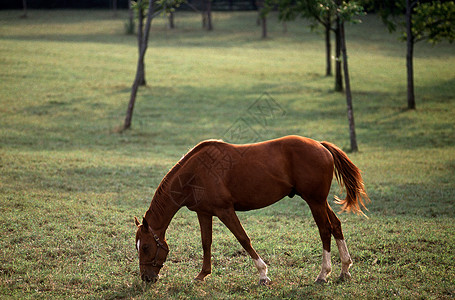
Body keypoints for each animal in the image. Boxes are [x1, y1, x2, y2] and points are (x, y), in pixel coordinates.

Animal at [134, 135, 368, 284]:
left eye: (145, 247)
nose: (146, 278)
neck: (196, 173)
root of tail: (320, 146)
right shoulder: (204, 213)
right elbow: (206, 243)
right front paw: (202, 275)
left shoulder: (225, 211)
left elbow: (243, 239)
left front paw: (263, 274)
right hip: (320, 201)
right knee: (336, 226)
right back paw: (344, 269)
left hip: (315, 201)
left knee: (325, 231)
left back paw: (323, 274)